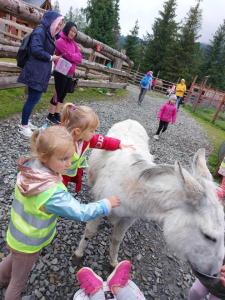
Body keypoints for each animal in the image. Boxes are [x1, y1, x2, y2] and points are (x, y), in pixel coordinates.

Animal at [74, 118, 224, 276]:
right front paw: (78, 255)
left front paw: (113, 263)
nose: (213, 274)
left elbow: (117, 239)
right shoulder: (101, 204)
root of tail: (131, 120)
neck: (131, 187)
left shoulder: (129, 218)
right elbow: (90, 232)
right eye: (208, 236)